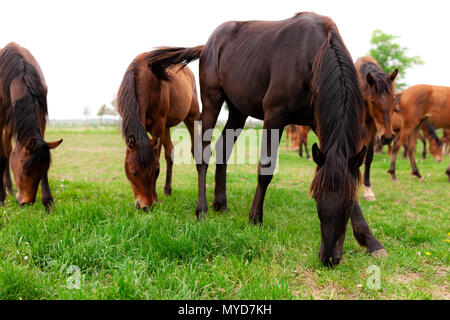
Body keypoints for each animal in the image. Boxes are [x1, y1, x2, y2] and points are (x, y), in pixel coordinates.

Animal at [0, 43, 62, 211]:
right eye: (25, 170)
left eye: (45, 169)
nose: (26, 203)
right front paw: (0, 197)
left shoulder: (40, 113)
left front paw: (47, 201)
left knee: (8, 150)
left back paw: (9, 188)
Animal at [116, 50, 200, 210]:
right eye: (133, 172)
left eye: (156, 171)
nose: (146, 207)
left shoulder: (158, 124)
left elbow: (157, 155)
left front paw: (155, 197)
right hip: (166, 126)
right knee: (169, 152)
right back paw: (167, 190)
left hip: (191, 117)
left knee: (195, 150)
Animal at [146, 11, 384, 268]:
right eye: (316, 197)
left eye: (348, 203)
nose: (329, 258)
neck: (315, 53)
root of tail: (207, 45)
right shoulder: (274, 116)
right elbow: (266, 170)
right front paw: (255, 218)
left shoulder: (318, 122)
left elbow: (346, 175)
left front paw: (370, 241)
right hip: (211, 100)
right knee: (203, 153)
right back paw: (202, 210)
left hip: (238, 111)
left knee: (223, 149)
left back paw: (221, 204)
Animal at [356, 55, 398, 200]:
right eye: (373, 101)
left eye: (393, 99)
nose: (388, 137)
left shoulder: (372, 126)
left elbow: (368, 157)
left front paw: (368, 189)